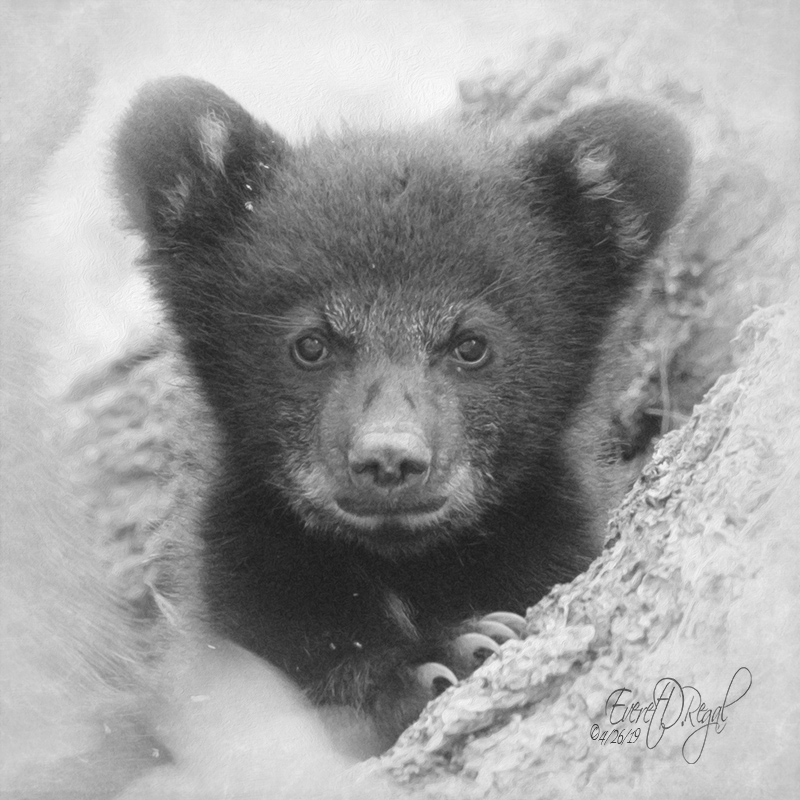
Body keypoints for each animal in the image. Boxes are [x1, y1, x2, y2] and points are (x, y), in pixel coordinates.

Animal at [113, 76, 691, 750]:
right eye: (310, 344)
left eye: (471, 344)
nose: (389, 459)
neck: (402, 562)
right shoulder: (241, 598)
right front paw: (440, 657)